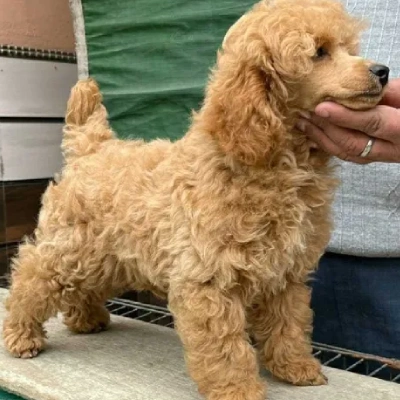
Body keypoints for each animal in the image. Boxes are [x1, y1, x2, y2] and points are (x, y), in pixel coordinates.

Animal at [1, 0, 388, 400]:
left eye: (348, 48)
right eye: (319, 52)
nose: (383, 71)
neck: (277, 163)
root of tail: (92, 148)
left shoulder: (285, 273)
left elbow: (289, 323)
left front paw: (294, 366)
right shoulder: (209, 278)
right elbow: (225, 346)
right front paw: (238, 389)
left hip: (106, 254)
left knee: (84, 283)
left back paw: (86, 319)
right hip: (70, 246)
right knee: (32, 276)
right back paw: (21, 334)